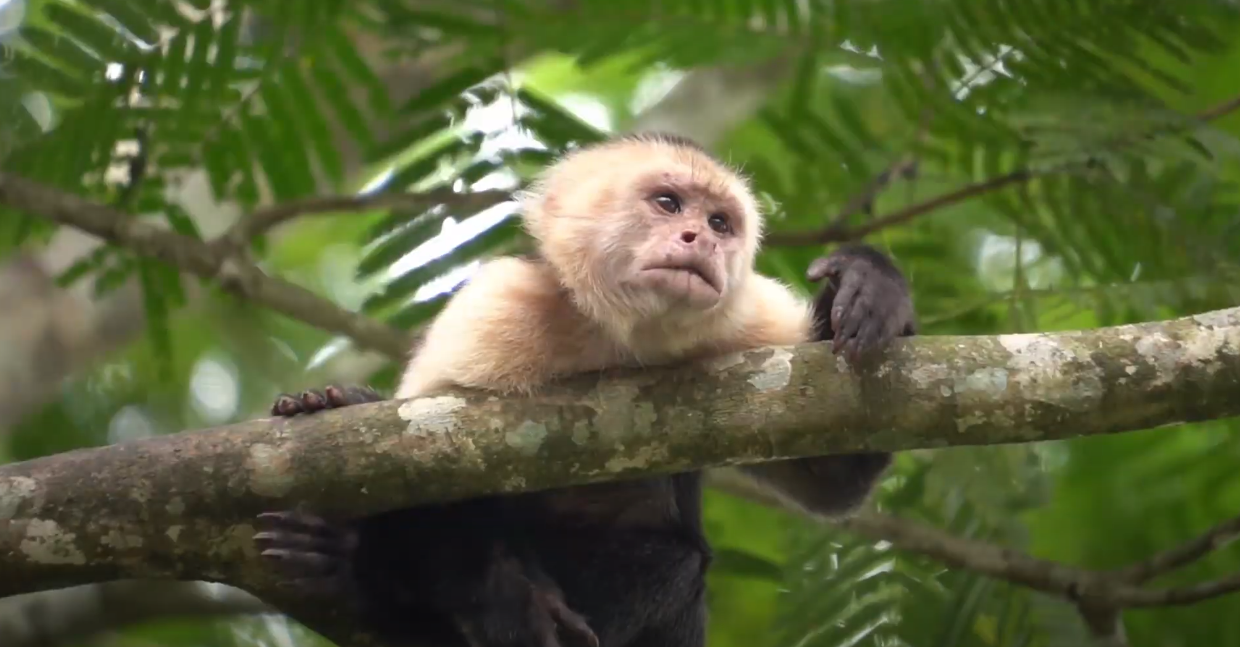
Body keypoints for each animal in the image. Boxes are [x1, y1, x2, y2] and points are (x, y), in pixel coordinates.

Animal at [254, 132, 916, 647]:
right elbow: (423, 470)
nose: (701, 240)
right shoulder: (499, 309)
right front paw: (507, 595)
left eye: (720, 223)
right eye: (668, 203)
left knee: (679, 559)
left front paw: (870, 282)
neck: (618, 336)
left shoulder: (747, 320)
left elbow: (832, 477)